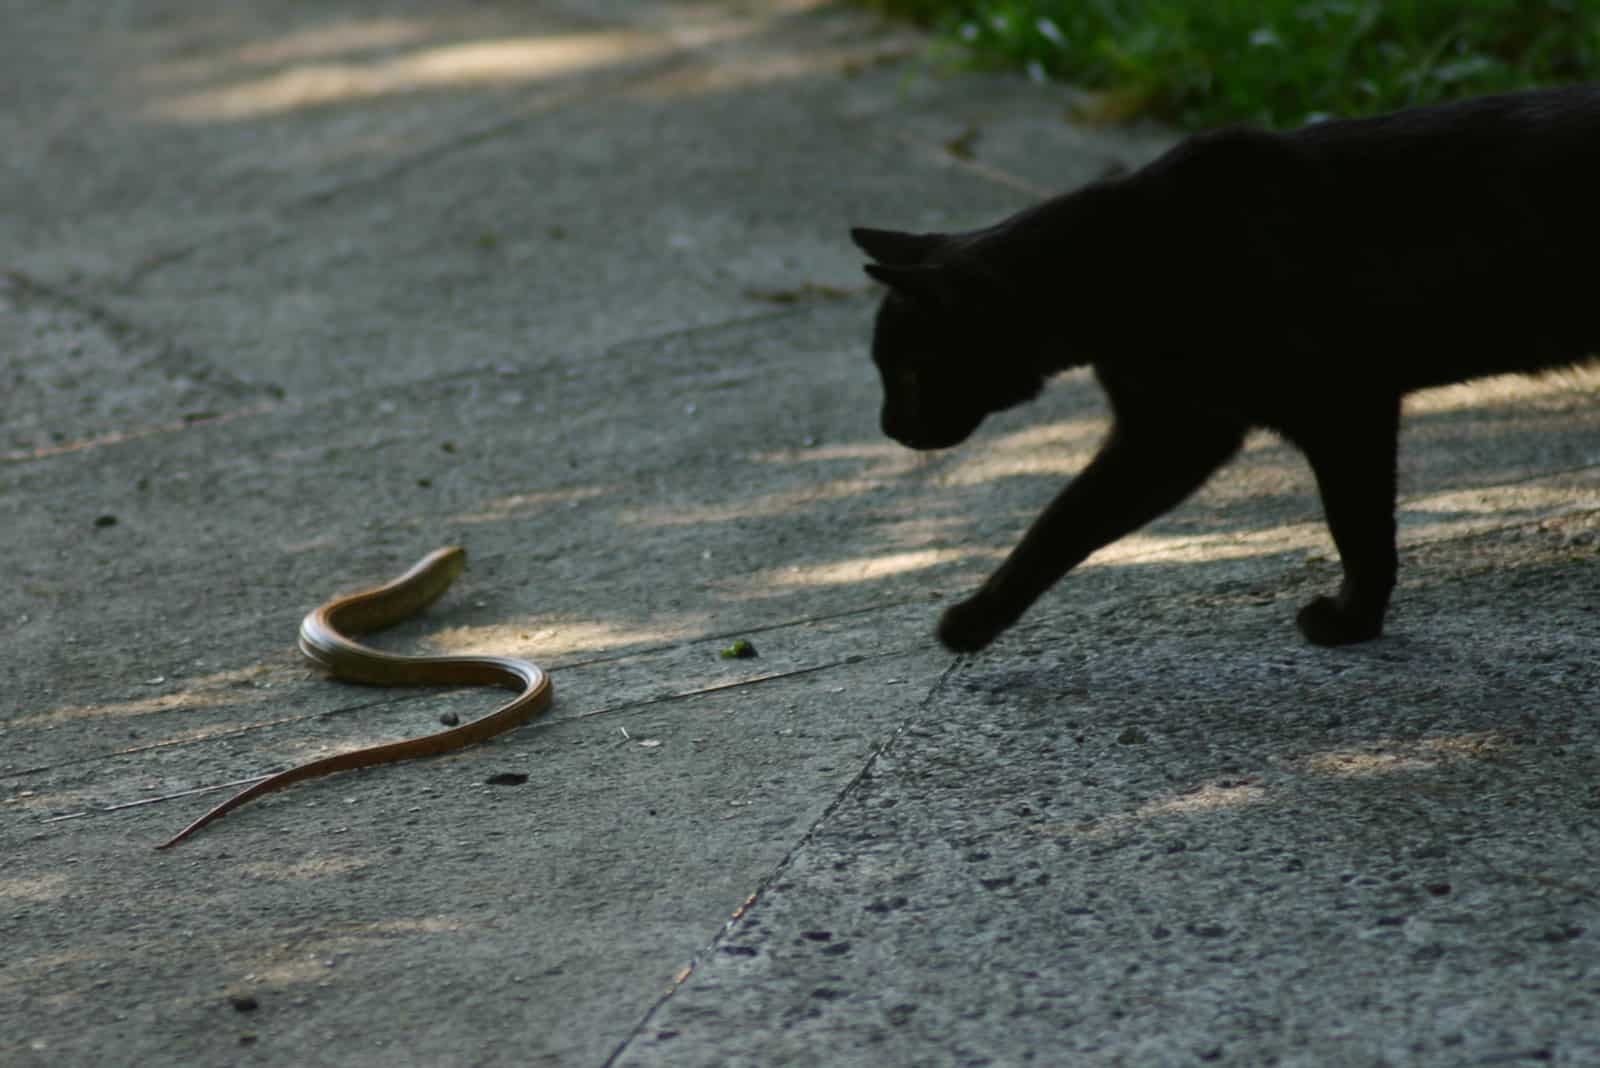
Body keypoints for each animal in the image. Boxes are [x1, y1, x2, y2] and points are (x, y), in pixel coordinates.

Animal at [857, 85, 1593, 652]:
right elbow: (1060, 526)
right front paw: (980, 618)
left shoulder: (1340, 410)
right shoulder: (1173, 432)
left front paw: (1351, 621)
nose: (888, 427)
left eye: (911, 373)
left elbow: (1357, 527)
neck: (1118, 266)